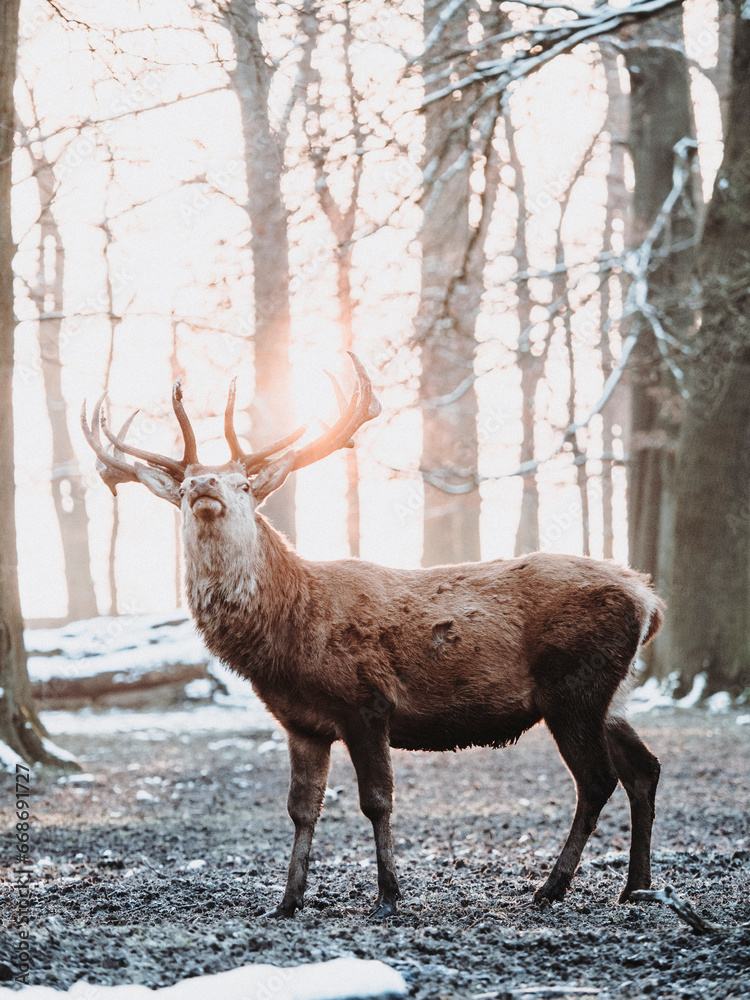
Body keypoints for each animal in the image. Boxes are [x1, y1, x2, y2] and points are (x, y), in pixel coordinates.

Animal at [82, 352, 664, 919]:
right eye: (183, 488)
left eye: (243, 485)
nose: (204, 487)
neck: (286, 635)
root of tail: (650, 601)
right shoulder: (301, 723)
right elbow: (301, 808)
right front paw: (287, 900)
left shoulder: (367, 702)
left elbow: (376, 800)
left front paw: (387, 895)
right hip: (612, 695)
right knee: (644, 769)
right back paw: (635, 886)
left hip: (574, 688)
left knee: (597, 780)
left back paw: (552, 887)